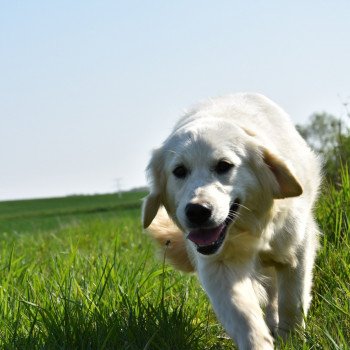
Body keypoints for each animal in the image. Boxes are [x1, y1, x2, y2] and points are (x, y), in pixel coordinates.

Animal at [142, 93, 320, 350]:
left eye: (224, 166)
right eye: (179, 171)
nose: (197, 211)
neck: (253, 228)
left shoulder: (296, 250)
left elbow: (292, 302)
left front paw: (293, 339)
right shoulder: (220, 267)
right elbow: (244, 317)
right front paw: (260, 342)